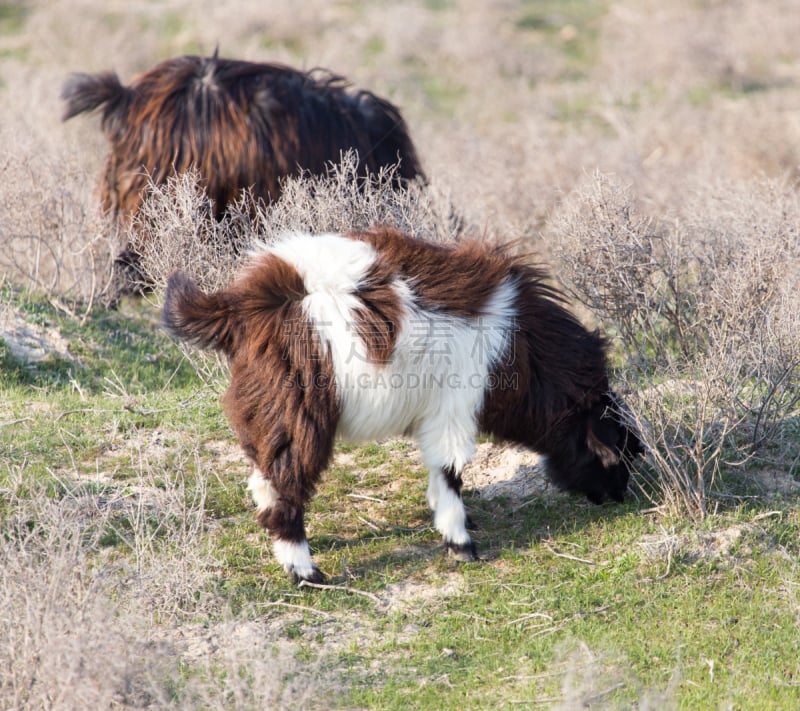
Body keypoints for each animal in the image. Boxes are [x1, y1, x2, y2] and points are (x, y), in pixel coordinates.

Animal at [162, 224, 644, 584]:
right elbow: (450, 471)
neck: (517, 346)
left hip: (272, 416)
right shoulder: (454, 409)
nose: (619, 497)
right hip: (298, 415)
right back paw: (307, 573)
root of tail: (238, 307)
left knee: (263, 481)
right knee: (284, 483)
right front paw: (461, 543)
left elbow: (438, 473)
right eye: (613, 450)